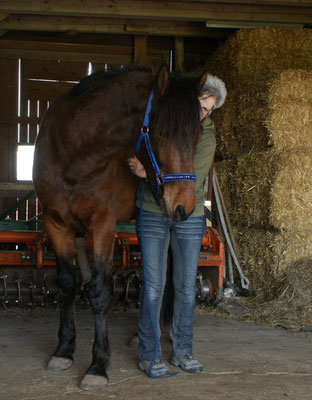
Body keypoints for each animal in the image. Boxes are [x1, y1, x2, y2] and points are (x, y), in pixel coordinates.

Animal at [32, 66, 207, 390]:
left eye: (197, 135)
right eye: (161, 133)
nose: (184, 206)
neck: (74, 152)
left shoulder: (103, 224)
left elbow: (100, 291)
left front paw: (98, 365)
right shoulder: (56, 223)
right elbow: (66, 285)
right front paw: (63, 350)